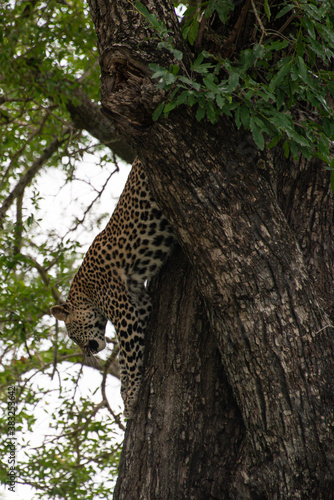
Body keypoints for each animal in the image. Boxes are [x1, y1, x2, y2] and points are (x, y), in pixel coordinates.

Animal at [50, 160, 175, 418]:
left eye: (71, 335)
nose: (88, 354)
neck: (84, 293)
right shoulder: (139, 301)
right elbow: (134, 349)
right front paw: (127, 390)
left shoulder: (123, 311)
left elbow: (129, 354)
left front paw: (131, 395)